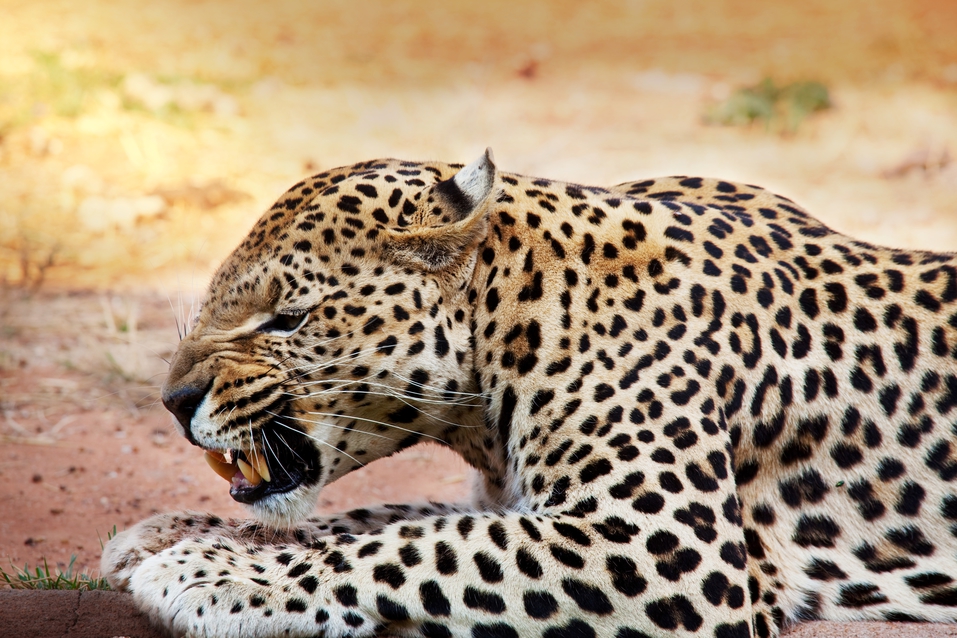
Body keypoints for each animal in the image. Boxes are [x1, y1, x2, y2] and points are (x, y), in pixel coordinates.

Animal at [102, 151, 956, 638]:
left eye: (287, 318)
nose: (173, 400)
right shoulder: (513, 499)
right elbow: (378, 518)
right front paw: (175, 534)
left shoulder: (664, 545)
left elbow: (418, 546)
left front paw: (209, 572)